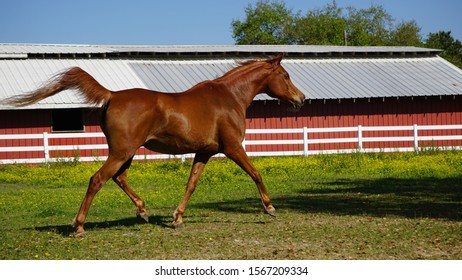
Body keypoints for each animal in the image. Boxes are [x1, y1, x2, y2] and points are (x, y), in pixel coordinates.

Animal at [6, 52, 306, 236]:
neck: (229, 97)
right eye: (286, 76)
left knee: (119, 177)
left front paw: (178, 218)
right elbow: (256, 173)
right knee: (98, 179)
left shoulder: (204, 153)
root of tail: (112, 95)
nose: (301, 99)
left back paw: (143, 211)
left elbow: (191, 184)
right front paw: (270, 208)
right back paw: (79, 227)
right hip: (122, 151)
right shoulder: (232, 148)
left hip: (125, 152)